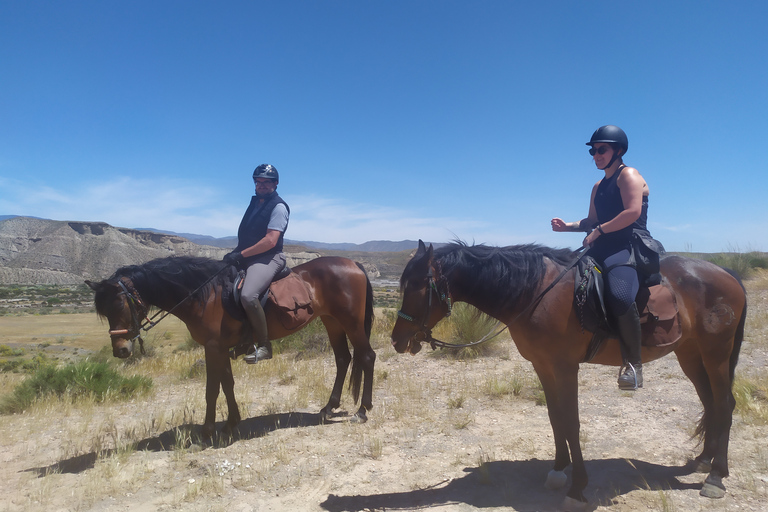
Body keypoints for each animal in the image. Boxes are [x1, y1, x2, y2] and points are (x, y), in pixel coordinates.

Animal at [88, 254, 376, 438]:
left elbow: (212, 389)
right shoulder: (218, 348)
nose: (120, 349)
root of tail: (354, 264)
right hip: (332, 321)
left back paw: (362, 411)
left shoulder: (213, 347)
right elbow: (227, 384)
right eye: (103, 311)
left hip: (350, 322)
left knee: (367, 357)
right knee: (343, 359)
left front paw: (208, 430)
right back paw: (328, 408)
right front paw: (230, 423)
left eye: (119, 304)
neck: (204, 295)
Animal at [392, 241, 748, 512]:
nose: (397, 340)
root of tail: (727, 274)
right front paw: (558, 470)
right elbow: (555, 418)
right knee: (711, 403)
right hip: (690, 354)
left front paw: (578, 487)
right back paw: (703, 461)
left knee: (724, 405)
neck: (534, 292)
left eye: (416, 287)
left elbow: (572, 421)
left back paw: (716, 477)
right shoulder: (543, 365)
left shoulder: (565, 367)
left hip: (716, 354)